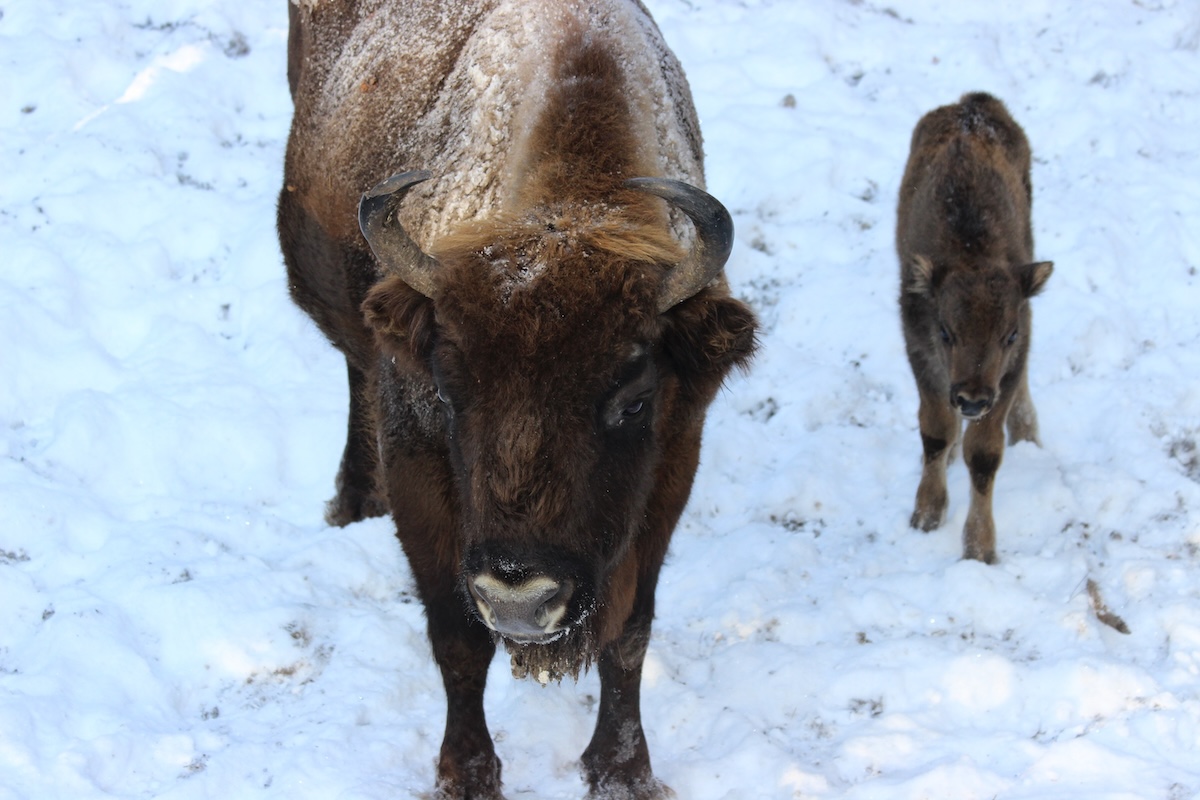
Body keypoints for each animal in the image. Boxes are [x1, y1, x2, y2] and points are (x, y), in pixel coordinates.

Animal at [276, 3, 753, 796]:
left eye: (633, 399)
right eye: (449, 391)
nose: (520, 601)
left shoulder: (671, 467)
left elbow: (629, 634)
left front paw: (623, 770)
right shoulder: (421, 470)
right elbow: (458, 640)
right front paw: (466, 774)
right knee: (353, 367)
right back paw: (352, 502)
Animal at [897, 94, 1056, 566]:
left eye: (1009, 335)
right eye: (946, 333)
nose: (971, 399)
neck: (971, 251)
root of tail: (972, 104)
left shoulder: (1010, 364)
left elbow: (984, 454)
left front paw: (980, 549)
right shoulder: (921, 353)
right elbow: (935, 431)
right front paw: (927, 513)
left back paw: (1026, 431)